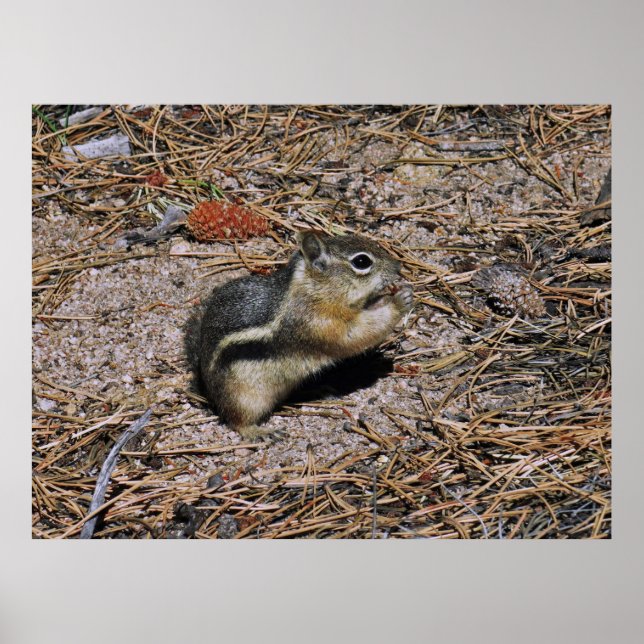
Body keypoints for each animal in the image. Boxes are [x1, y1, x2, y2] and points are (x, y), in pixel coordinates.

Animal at [184, 230, 413, 441]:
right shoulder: (319, 323)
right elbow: (356, 334)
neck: (312, 290)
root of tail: (206, 385)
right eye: (362, 261)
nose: (398, 267)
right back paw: (260, 431)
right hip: (244, 397)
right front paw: (399, 301)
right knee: (236, 420)